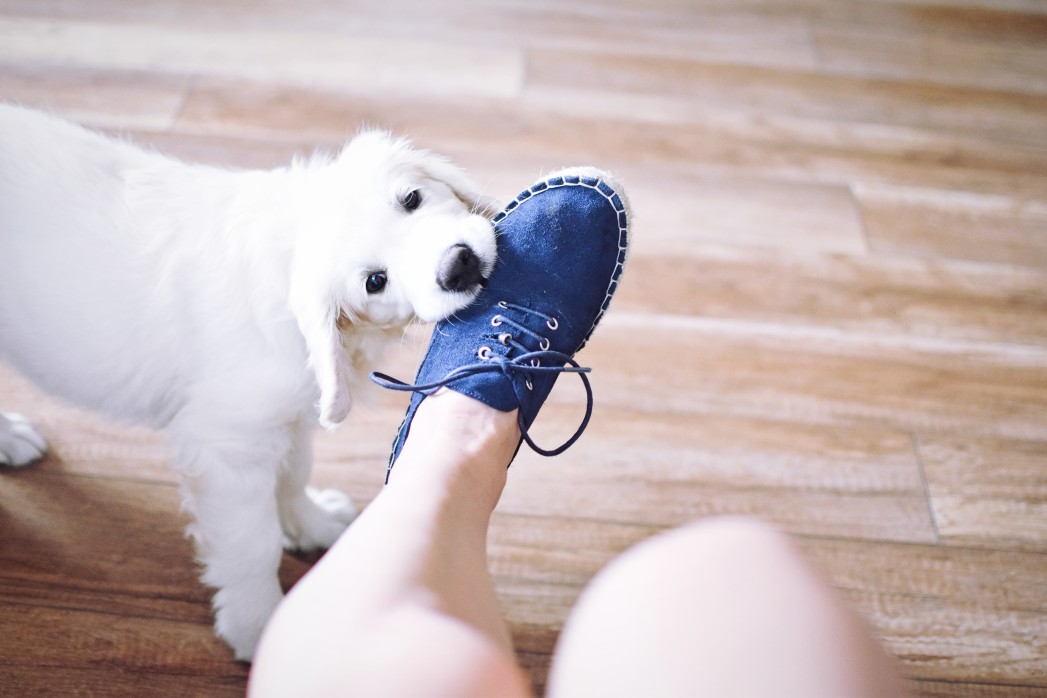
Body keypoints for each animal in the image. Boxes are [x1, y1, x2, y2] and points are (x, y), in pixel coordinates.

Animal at [0, 103, 498, 661]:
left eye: (412, 199)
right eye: (375, 281)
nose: (459, 265)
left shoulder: (290, 414)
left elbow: (294, 474)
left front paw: (311, 524)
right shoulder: (225, 447)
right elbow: (250, 543)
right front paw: (258, 625)